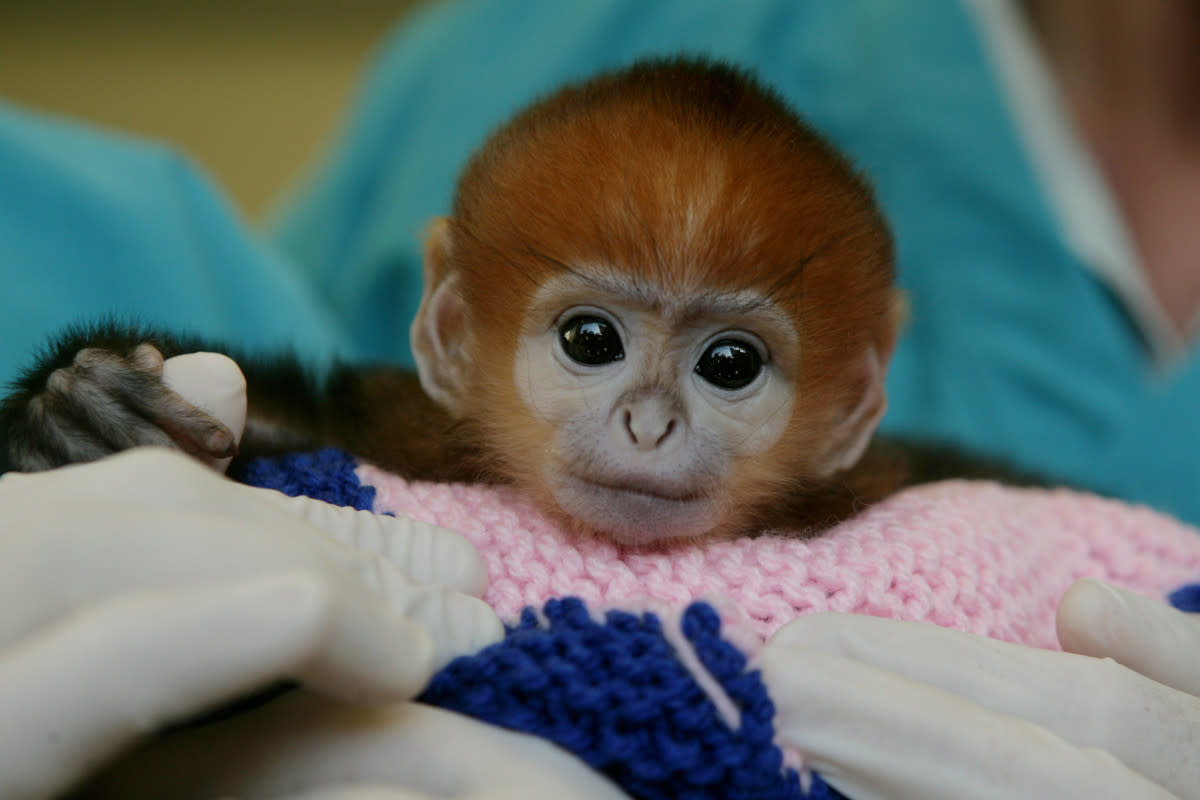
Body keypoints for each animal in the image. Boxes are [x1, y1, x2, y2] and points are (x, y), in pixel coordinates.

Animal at [0, 59, 1022, 546]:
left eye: (731, 364)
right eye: (591, 340)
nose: (649, 425)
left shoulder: (881, 473)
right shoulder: (401, 421)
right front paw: (73, 410)